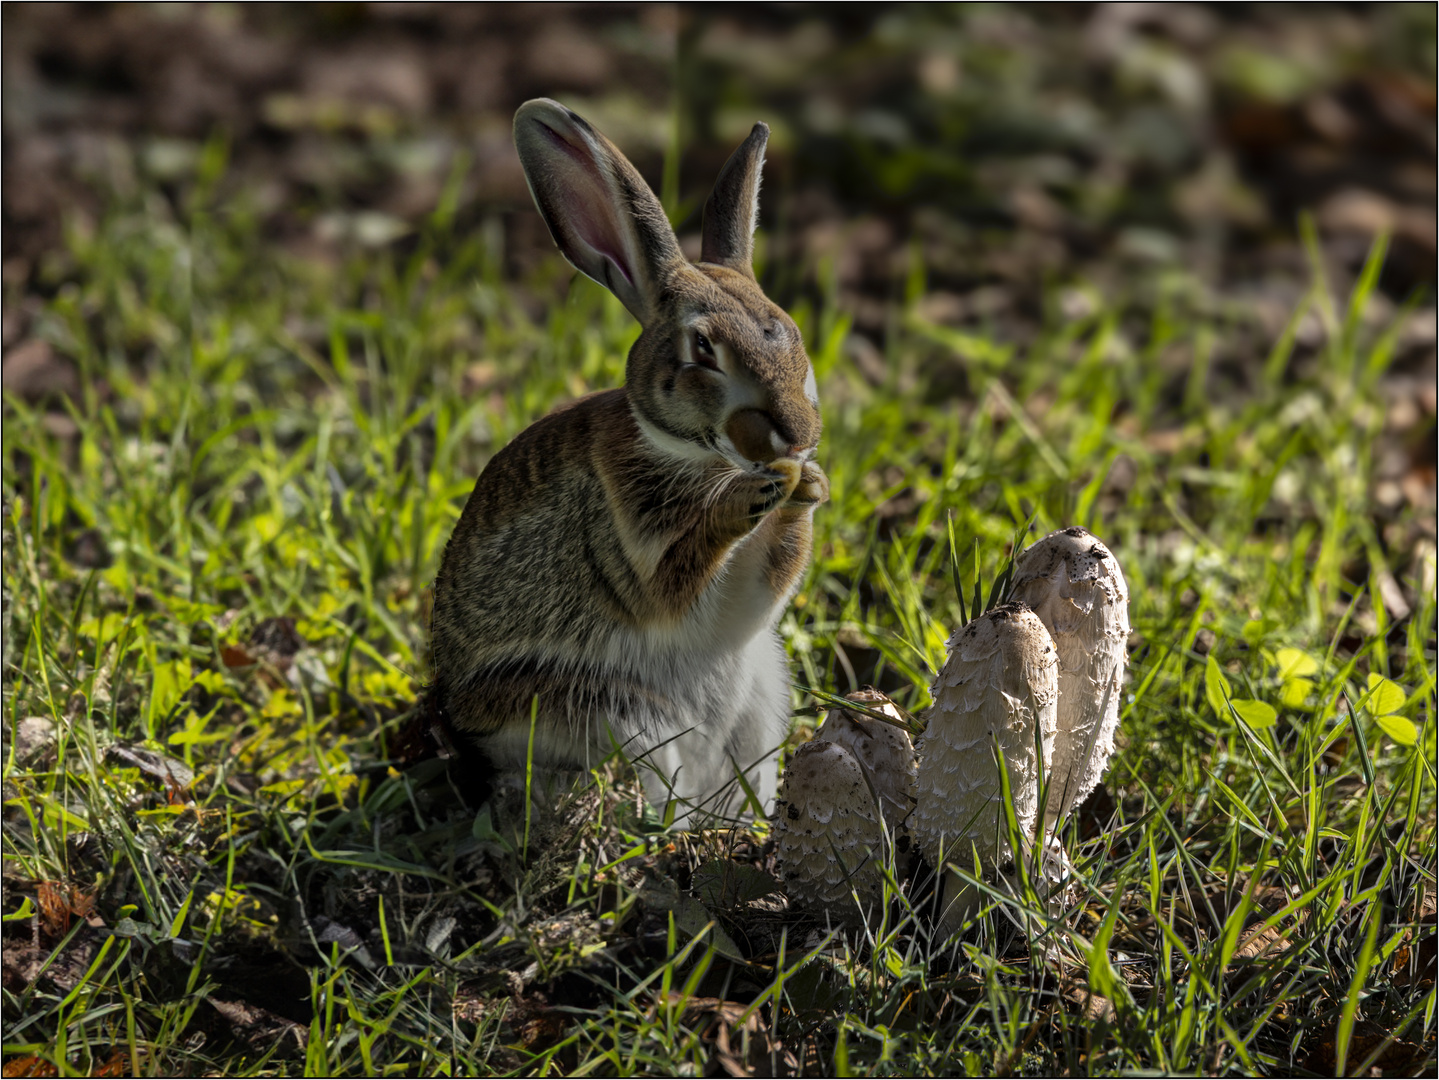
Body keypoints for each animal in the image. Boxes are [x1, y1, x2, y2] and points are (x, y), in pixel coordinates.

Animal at [425, 99, 828, 816]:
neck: (699, 457)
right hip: (611, 709)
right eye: (703, 351)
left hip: (762, 701)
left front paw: (807, 487)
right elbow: (672, 587)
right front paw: (747, 502)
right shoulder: (621, 538)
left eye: (790, 330)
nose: (798, 437)